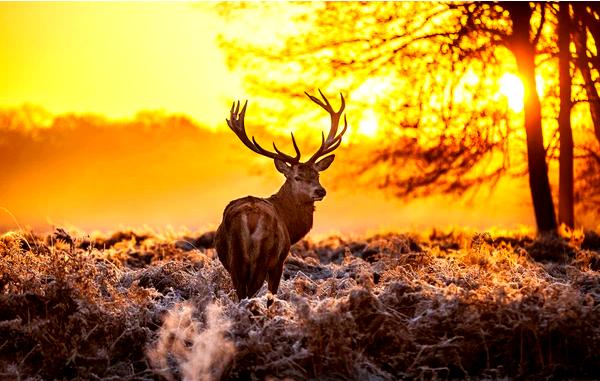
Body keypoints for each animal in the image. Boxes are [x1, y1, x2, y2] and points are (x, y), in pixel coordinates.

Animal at [214, 90, 346, 302]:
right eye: (297, 177)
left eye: (317, 175)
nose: (320, 191)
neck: (289, 224)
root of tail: (249, 218)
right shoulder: (280, 261)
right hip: (264, 258)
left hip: (236, 262)